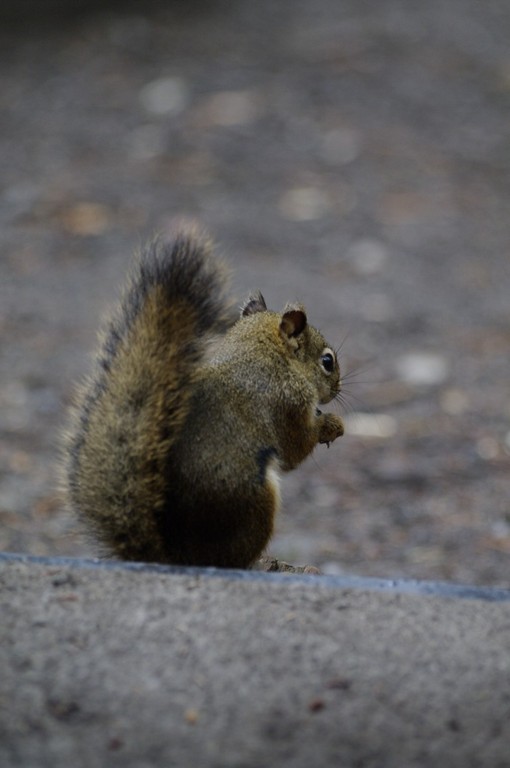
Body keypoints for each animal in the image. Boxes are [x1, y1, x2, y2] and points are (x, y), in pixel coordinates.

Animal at [64, 227, 344, 569]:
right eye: (327, 361)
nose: (338, 390)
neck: (261, 352)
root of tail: (176, 557)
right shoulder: (286, 401)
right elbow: (295, 449)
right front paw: (332, 424)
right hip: (254, 500)